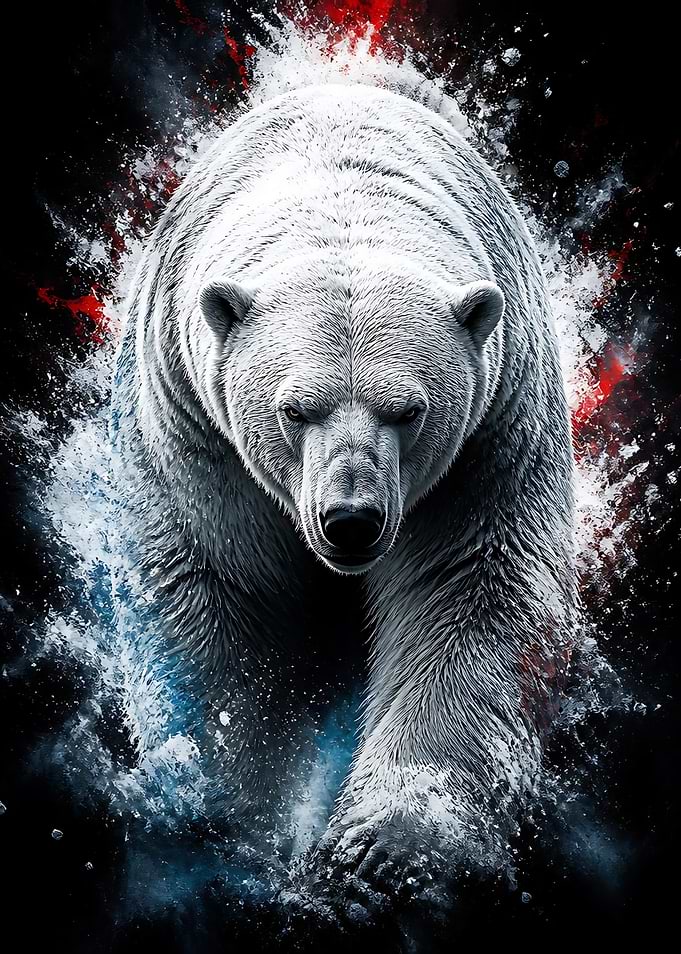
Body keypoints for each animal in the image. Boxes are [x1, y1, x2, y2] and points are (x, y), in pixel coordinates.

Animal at [110, 82, 576, 889]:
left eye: (409, 410)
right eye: (294, 409)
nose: (350, 518)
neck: (339, 187)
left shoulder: (492, 429)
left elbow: (471, 585)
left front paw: (384, 845)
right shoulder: (194, 434)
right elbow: (220, 593)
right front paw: (231, 807)